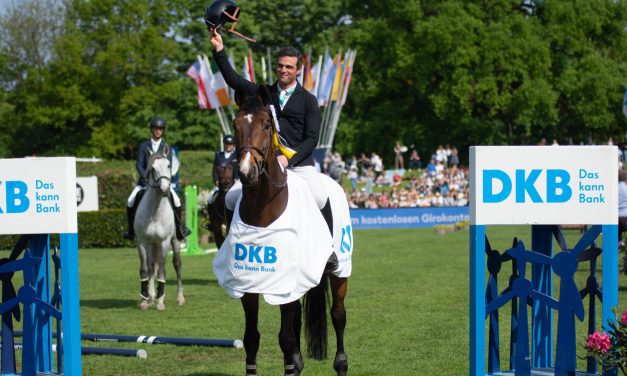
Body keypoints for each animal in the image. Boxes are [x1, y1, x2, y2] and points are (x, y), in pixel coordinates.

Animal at [213, 89, 354, 376]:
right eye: (235, 124)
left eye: (267, 125)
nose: (246, 172)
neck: (263, 208)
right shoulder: (248, 285)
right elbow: (252, 337)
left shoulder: (285, 283)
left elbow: (286, 337)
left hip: (340, 273)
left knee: (338, 314)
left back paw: (341, 364)